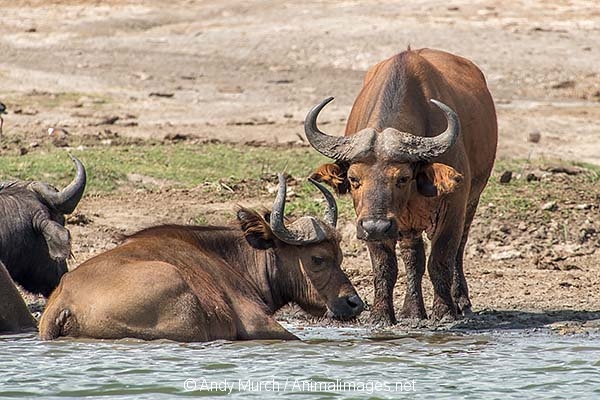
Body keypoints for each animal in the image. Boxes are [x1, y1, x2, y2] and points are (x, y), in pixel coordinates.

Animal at [304, 47, 496, 324]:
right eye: (354, 179)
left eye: (402, 178)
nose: (376, 226)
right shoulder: (369, 220)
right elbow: (385, 266)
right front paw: (381, 315)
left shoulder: (453, 207)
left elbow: (441, 260)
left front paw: (444, 312)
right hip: (406, 225)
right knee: (413, 256)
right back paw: (412, 310)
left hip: (471, 201)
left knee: (459, 248)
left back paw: (460, 300)